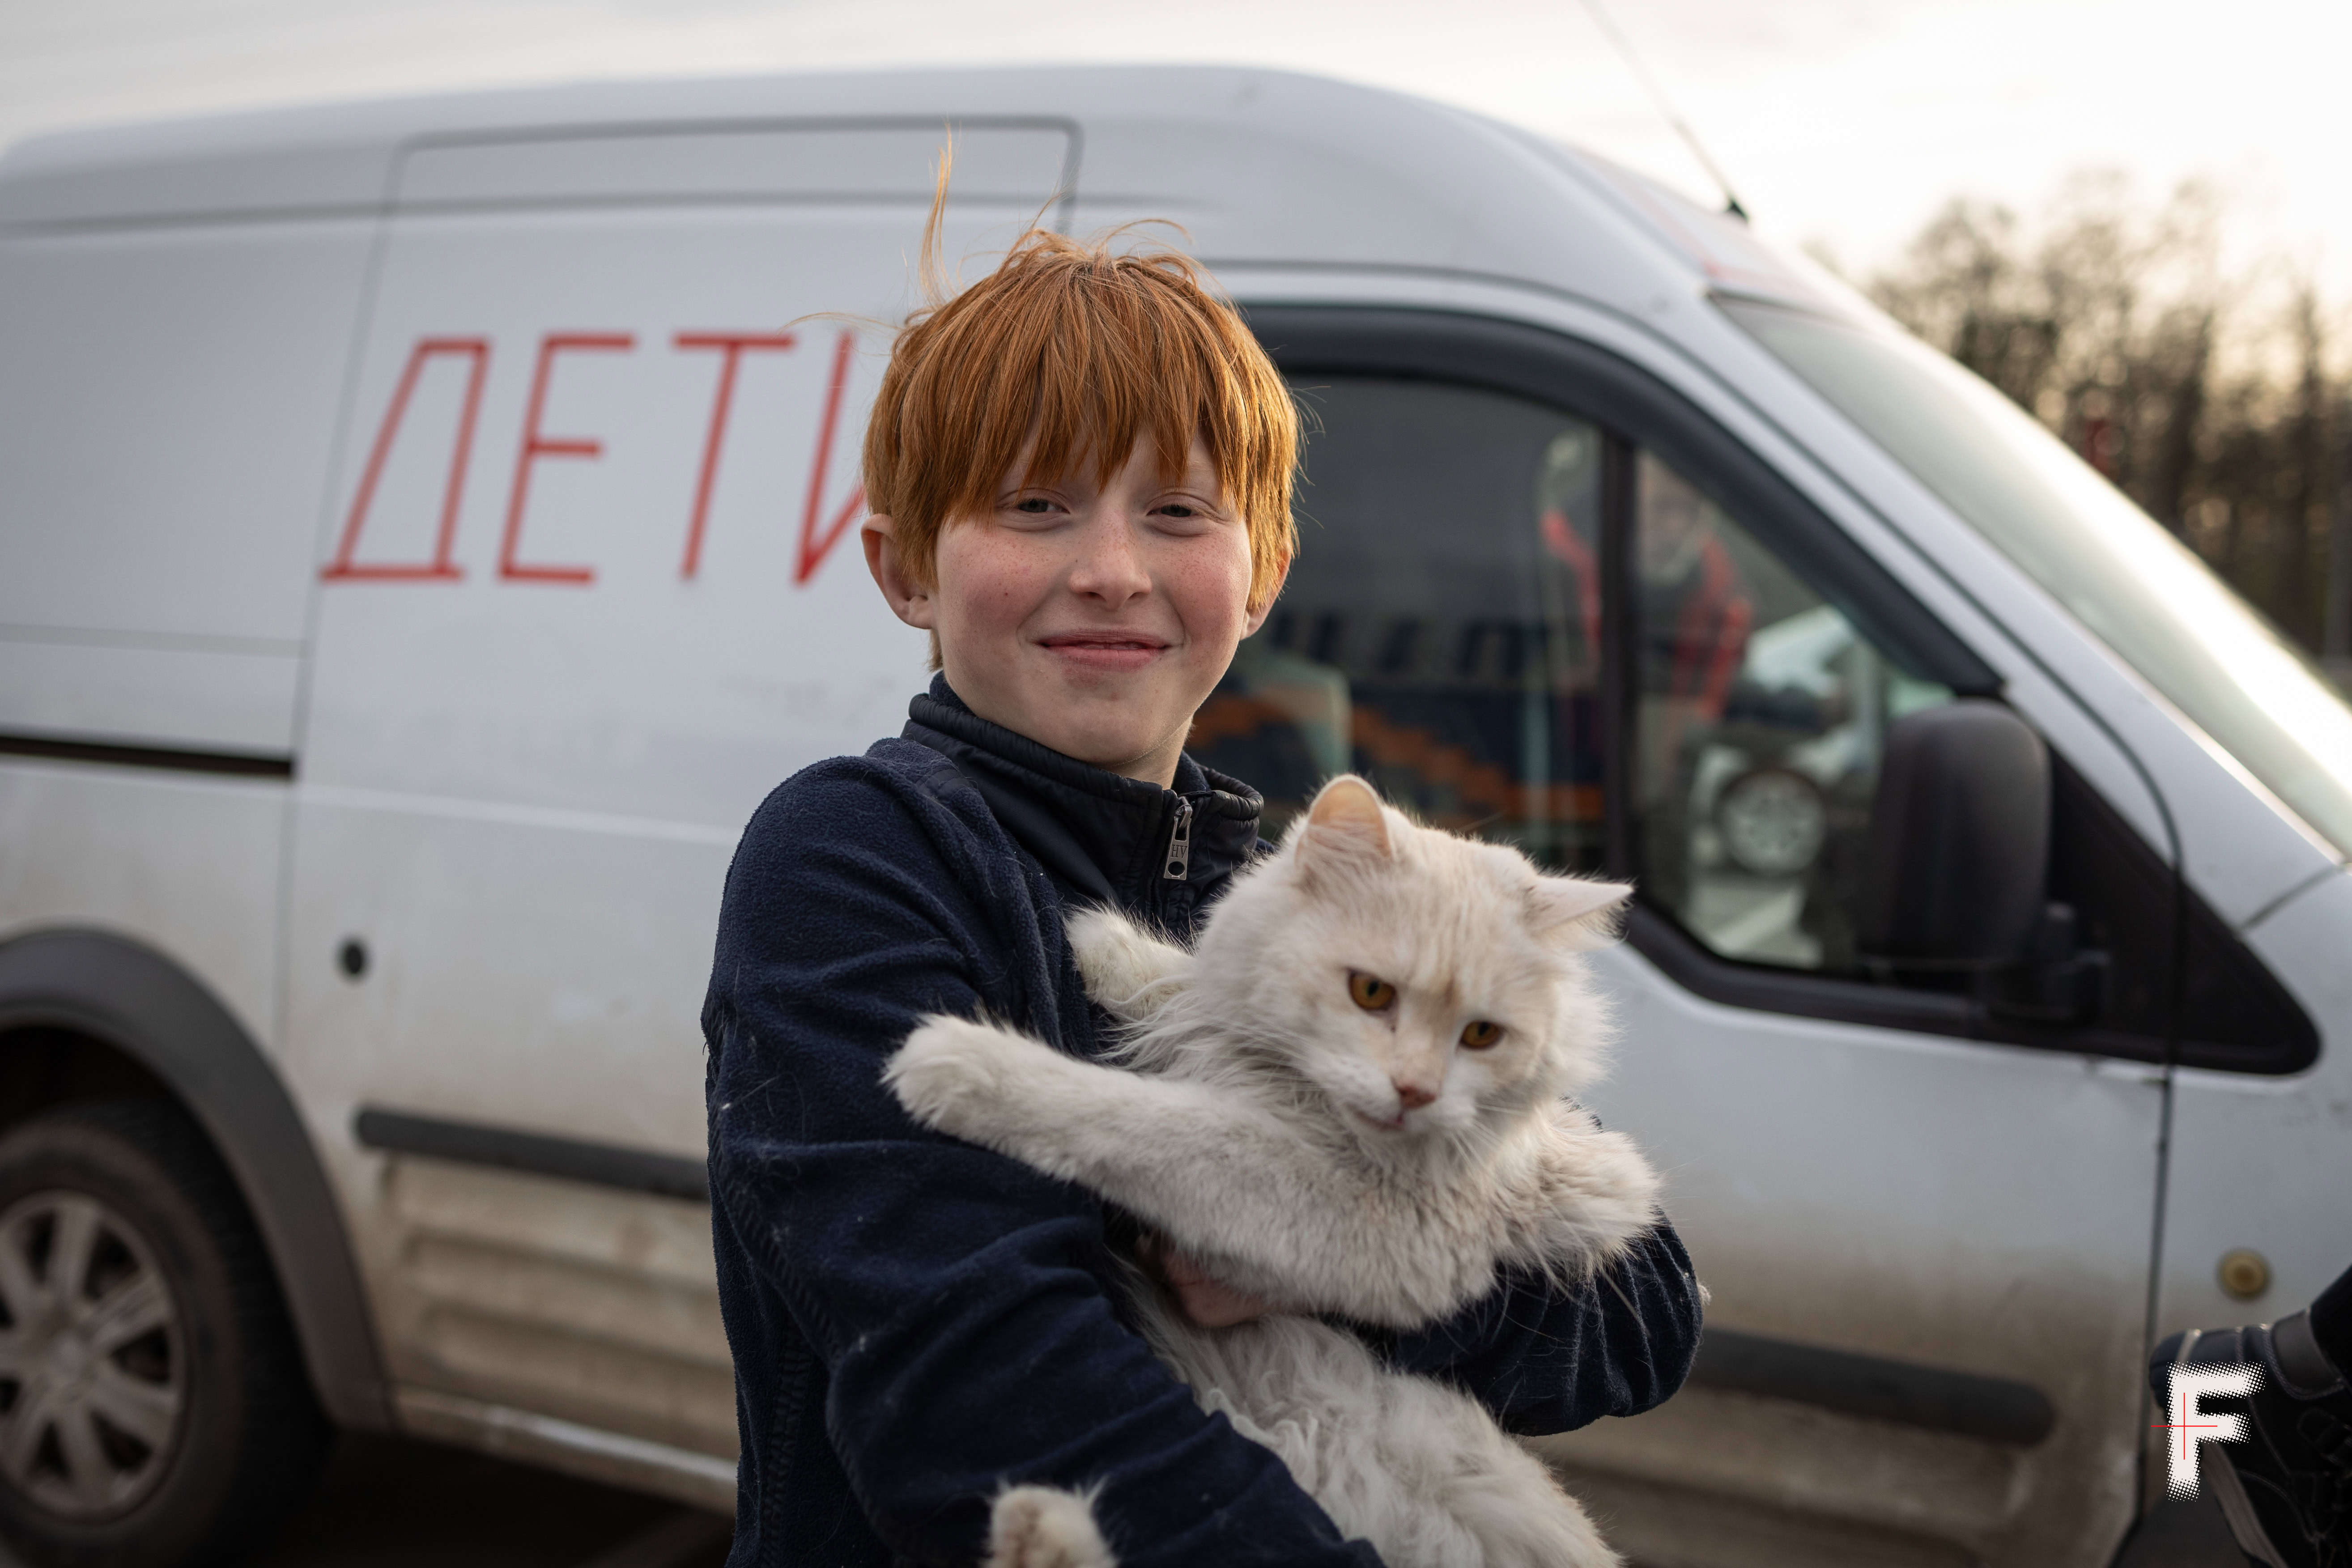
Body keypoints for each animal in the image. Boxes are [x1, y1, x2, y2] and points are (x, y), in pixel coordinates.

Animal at [884, 776, 1674, 1568]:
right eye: (1371, 993)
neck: (1303, 1095)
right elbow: (1187, 990)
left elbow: (1146, 1120)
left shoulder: (1369, 1221)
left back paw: (1038, 1523)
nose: (1415, 1091)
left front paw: (963, 1064)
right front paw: (1102, 940)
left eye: (1482, 1035)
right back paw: (1034, 1522)